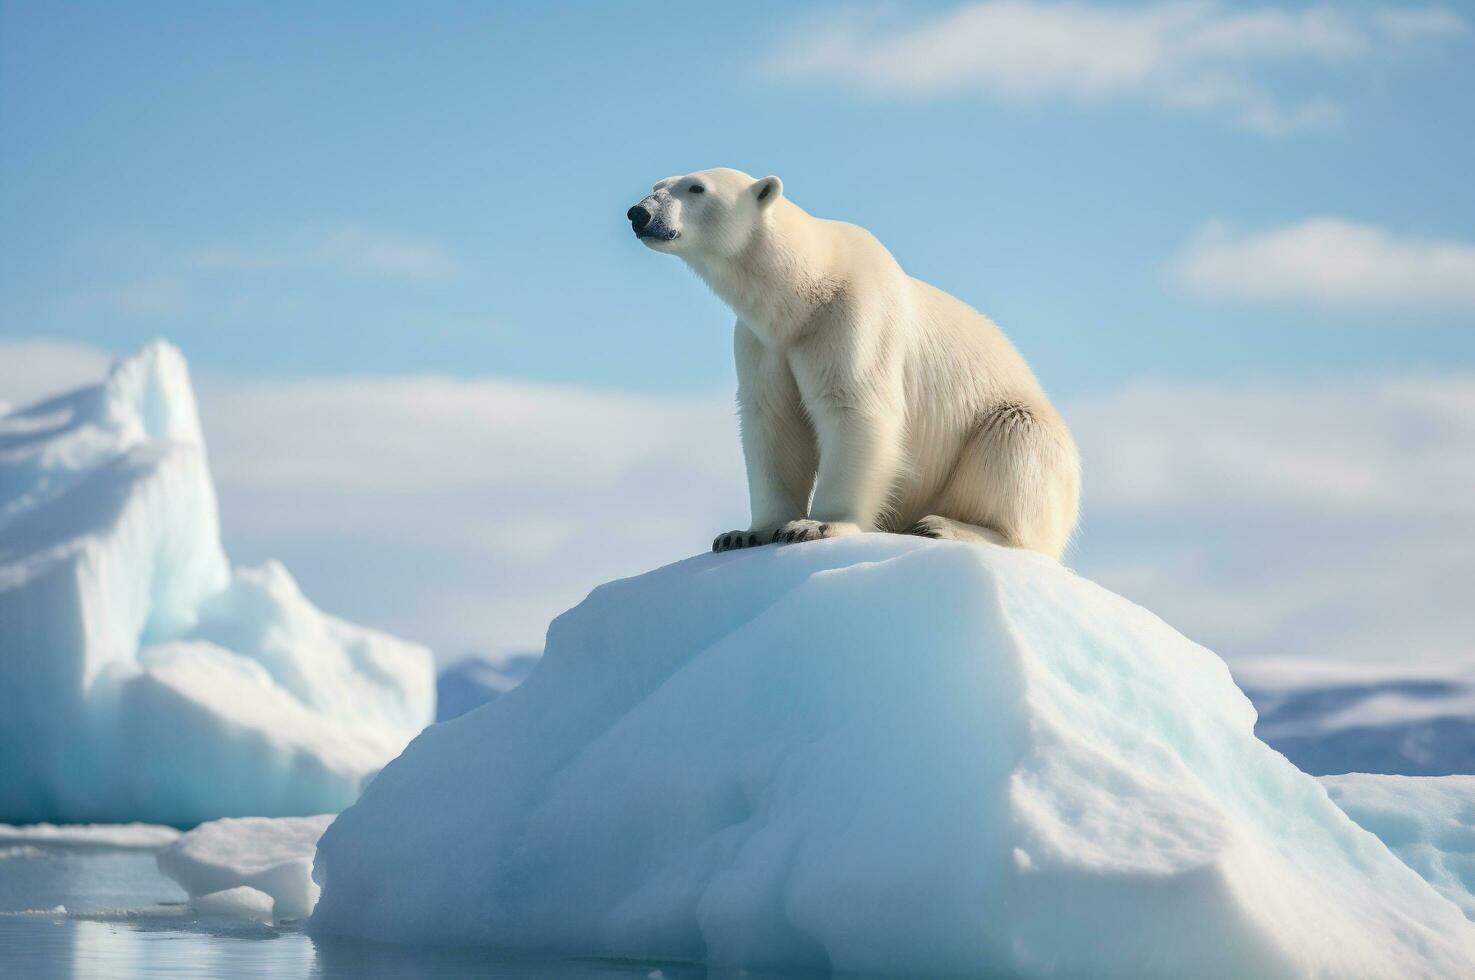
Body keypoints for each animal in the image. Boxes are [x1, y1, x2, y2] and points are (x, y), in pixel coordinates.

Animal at [628, 168, 1079, 557]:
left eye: (696, 188)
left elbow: (854, 406)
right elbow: (772, 421)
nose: (639, 213)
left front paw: (817, 525)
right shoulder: (763, 342)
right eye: (657, 184)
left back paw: (946, 526)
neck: (803, 292)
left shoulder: (852, 317)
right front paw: (746, 533)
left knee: (1014, 442)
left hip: (1019, 431)